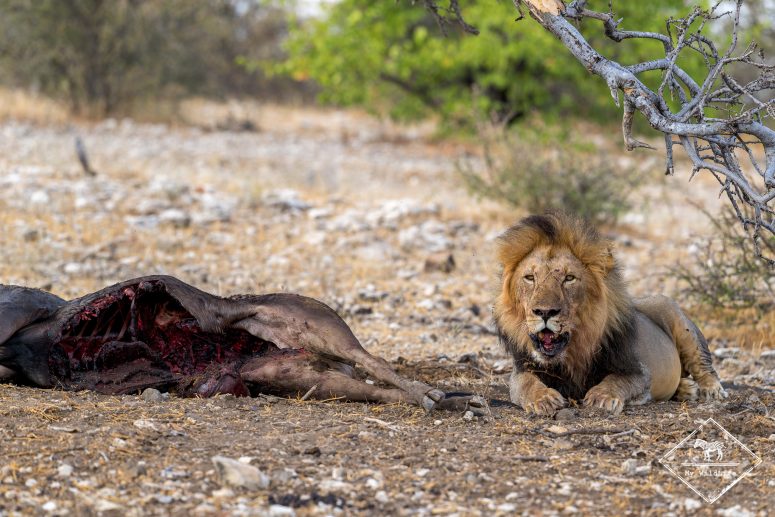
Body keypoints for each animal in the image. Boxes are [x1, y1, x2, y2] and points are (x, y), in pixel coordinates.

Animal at [494, 212, 727, 416]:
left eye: (569, 278)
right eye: (530, 278)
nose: (544, 312)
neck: (572, 353)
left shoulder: (638, 372)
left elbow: (616, 380)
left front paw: (602, 397)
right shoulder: (522, 370)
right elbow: (525, 384)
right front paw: (543, 399)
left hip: (678, 318)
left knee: (703, 365)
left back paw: (710, 390)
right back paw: (686, 389)